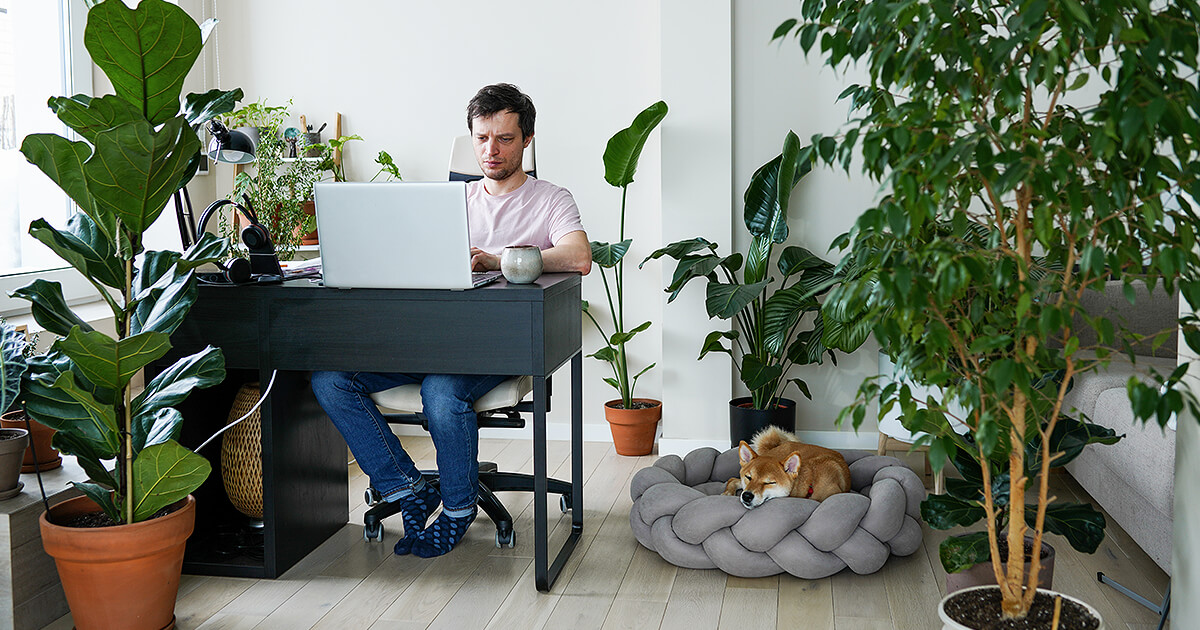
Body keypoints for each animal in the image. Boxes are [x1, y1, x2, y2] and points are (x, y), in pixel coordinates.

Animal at [720, 422, 854, 506]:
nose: (747, 496)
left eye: (769, 483)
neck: (812, 481)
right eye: (749, 477)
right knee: (733, 480)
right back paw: (728, 493)